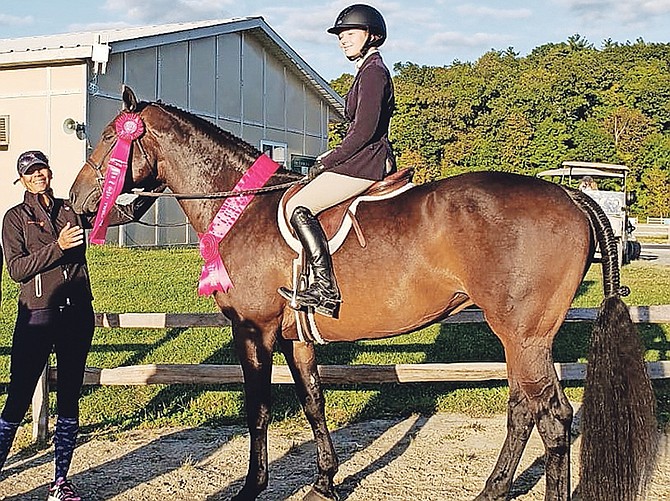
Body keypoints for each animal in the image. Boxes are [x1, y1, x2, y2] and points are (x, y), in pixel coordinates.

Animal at [69, 88, 660, 500]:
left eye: (109, 137)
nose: (77, 200)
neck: (243, 206)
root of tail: (571, 194)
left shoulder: (254, 330)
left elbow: (258, 409)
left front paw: (252, 488)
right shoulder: (294, 336)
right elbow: (312, 401)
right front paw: (325, 482)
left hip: (523, 333)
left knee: (551, 417)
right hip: (528, 338)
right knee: (526, 410)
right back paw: (492, 489)